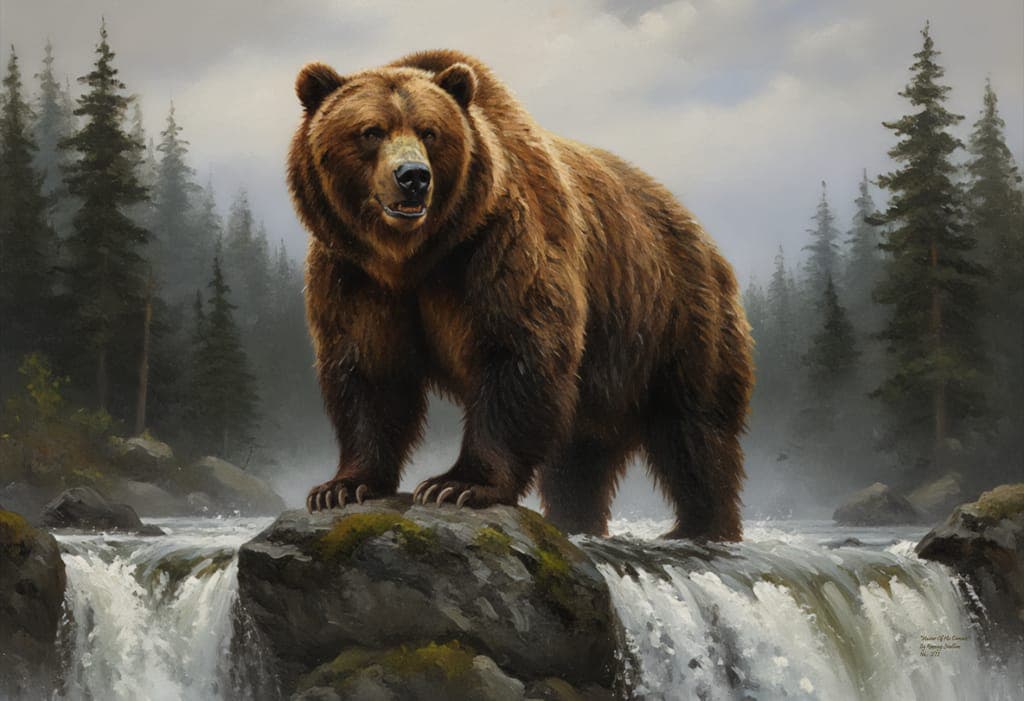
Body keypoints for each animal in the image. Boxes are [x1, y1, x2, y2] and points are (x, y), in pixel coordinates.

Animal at [288, 50, 754, 541]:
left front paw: (456, 485)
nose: (413, 177)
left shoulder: (499, 244)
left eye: (430, 132)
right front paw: (341, 487)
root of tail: (706, 240)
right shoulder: (354, 274)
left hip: (675, 317)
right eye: (371, 131)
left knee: (694, 431)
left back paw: (700, 527)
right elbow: (370, 369)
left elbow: (517, 352)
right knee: (581, 458)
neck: (414, 255)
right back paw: (576, 522)